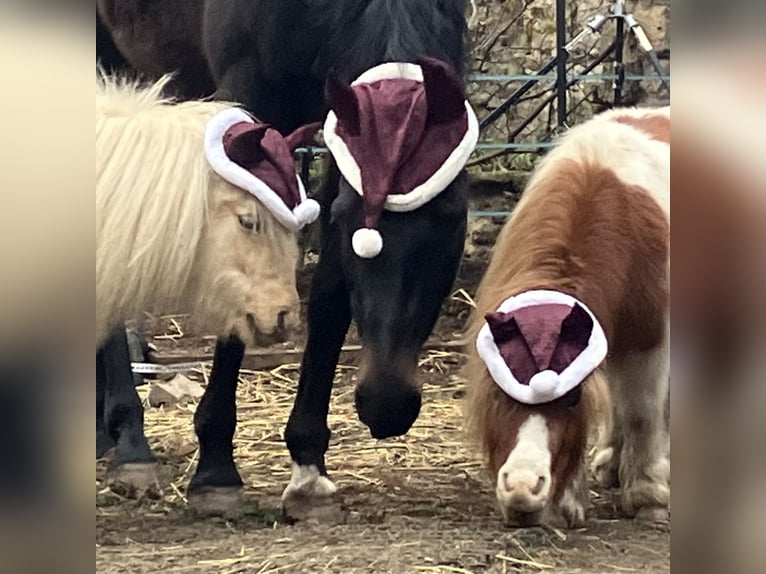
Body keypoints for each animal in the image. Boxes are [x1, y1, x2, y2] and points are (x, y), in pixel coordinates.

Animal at [464, 107, 670, 527]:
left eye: (572, 399)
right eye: (500, 391)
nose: (523, 488)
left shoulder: (650, 339)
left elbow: (642, 411)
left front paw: (648, 497)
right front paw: (568, 503)